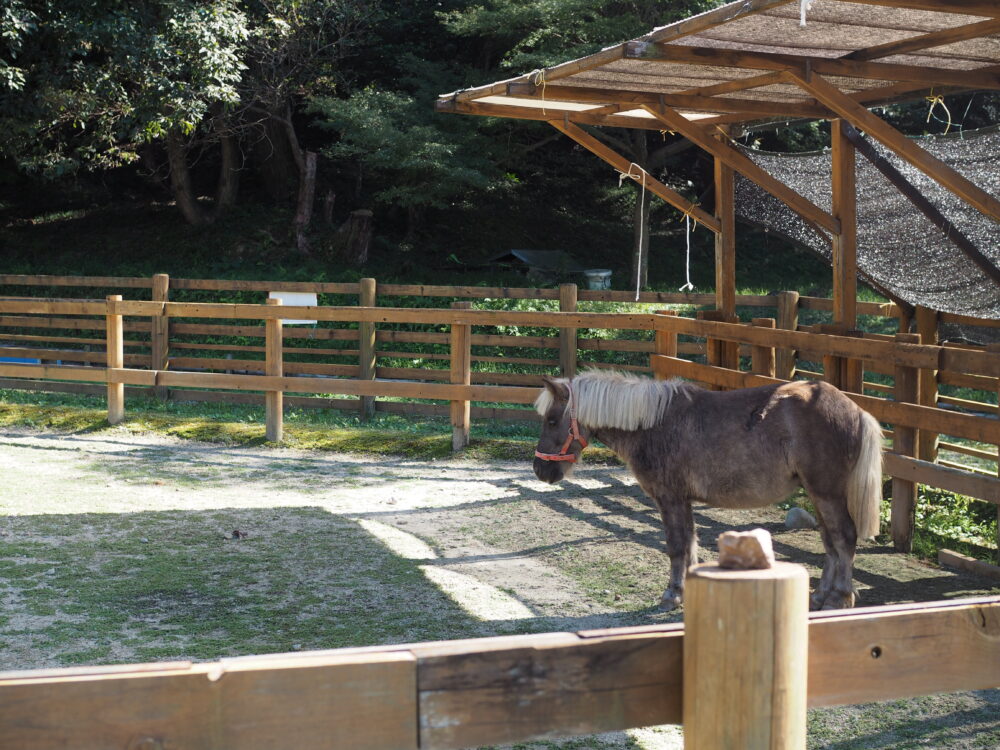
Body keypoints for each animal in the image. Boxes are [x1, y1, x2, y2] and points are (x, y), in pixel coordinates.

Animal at [536, 370, 880, 612]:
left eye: (552, 420)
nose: (540, 470)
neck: (652, 424)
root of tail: (855, 410)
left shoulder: (670, 498)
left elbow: (677, 546)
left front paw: (672, 595)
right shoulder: (683, 501)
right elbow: (689, 545)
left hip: (827, 493)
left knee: (844, 538)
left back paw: (839, 598)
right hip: (817, 494)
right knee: (831, 542)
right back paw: (820, 596)